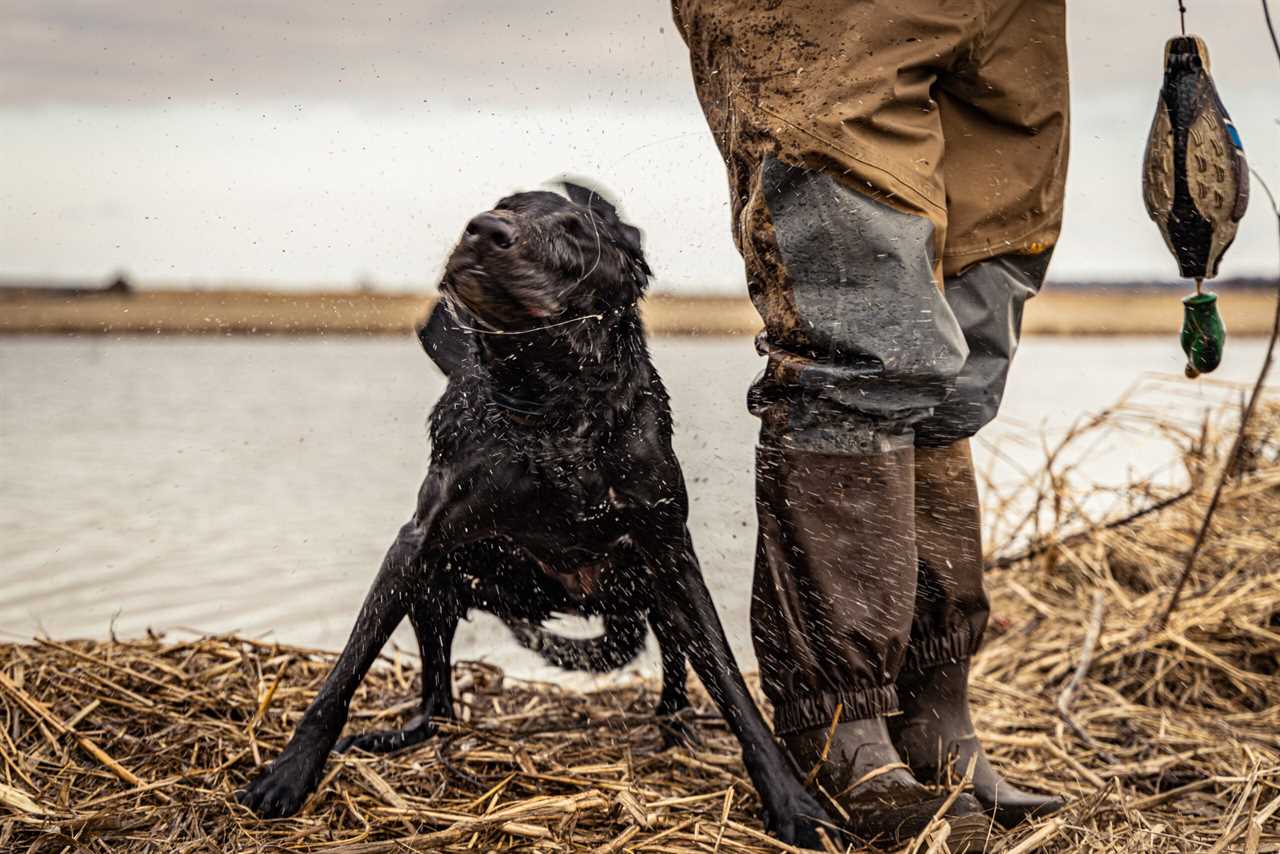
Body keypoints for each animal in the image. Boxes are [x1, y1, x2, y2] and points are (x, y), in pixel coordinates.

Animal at [239, 184, 834, 845]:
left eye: (576, 229)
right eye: (503, 203)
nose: (483, 230)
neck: (552, 406)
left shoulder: (670, 553)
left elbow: (731, 684)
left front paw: (791, 800)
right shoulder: (415, 545)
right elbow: (343, 673)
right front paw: (290, 773)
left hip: (646, 593)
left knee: (675, 671)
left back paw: (674, 727)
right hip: (438, 585)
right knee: (438, 701)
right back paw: (403, 735)